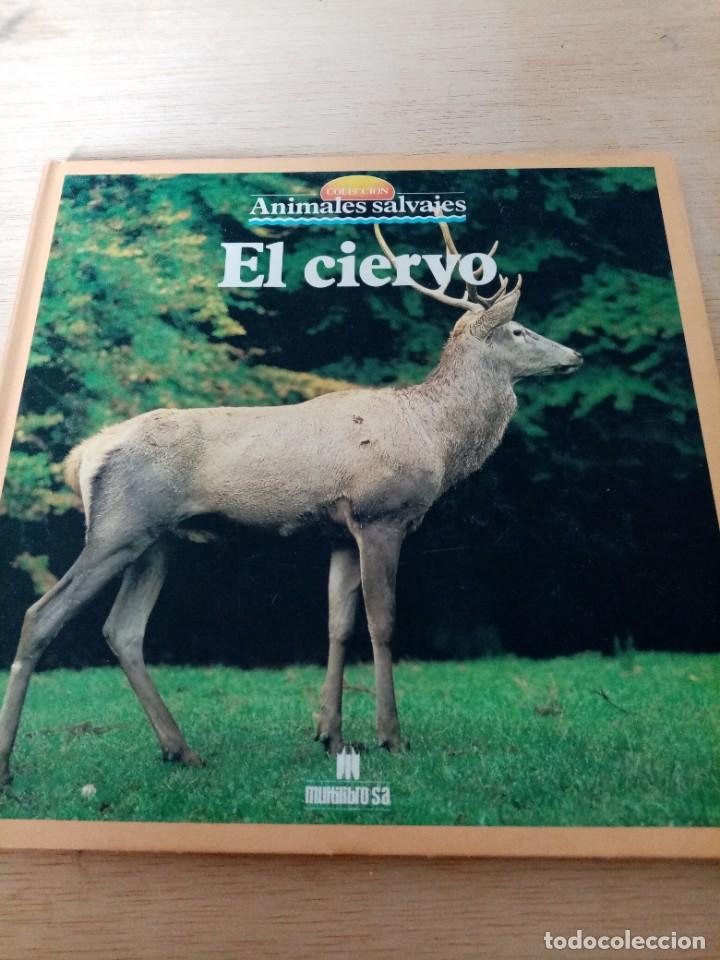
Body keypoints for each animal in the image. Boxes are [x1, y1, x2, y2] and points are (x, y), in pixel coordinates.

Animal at [0, 219, 582, 785]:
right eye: (518, 329)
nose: (574, 355)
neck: (435, 439)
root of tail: (83, 457)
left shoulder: (339, 532)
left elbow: (338, 626)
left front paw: (331, 735)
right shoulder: (380, 515)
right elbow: (383, 622)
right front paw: (391, 737)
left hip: (157, 541)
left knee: (123, 630)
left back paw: (181, 750)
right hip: (118, 527)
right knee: (40, 615)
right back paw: (10, 763)